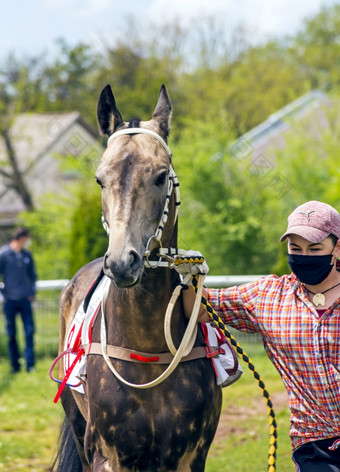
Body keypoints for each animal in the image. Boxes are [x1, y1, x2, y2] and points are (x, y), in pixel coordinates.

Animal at [53, 83, 223, 470]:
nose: (121, 263)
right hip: (77, 426)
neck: (146, 351)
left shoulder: (191, 455)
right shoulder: (107, 455)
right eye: (100, 179)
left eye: (160, 176)